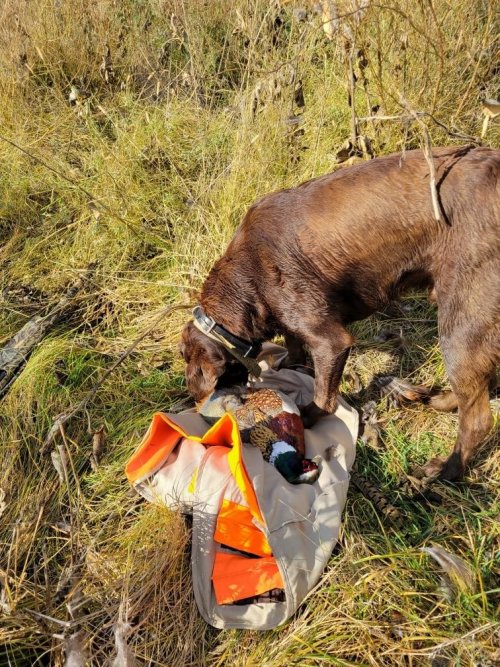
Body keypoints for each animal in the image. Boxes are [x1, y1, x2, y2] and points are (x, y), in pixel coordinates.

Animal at [181, 146, 500, 480]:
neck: (246, 278)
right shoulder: (293, 322)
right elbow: (294, 345)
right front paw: (291, 366)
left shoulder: (331, 342)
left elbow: (323, 397)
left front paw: (304, 418)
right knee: (476, 388)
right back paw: (443, 403)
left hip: (460, 322)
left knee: (478, 418)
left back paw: (447, 470)